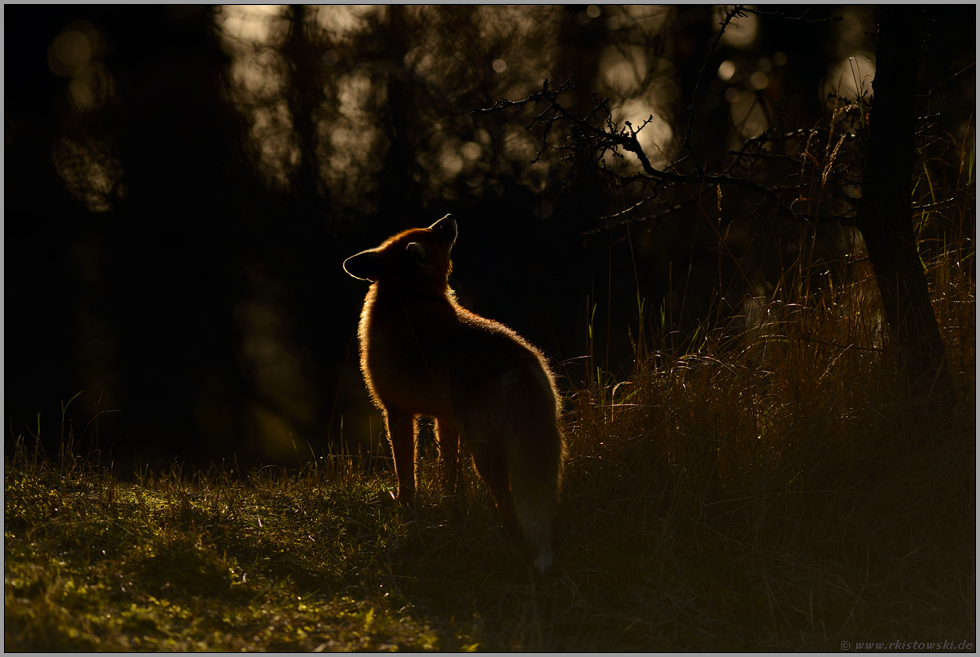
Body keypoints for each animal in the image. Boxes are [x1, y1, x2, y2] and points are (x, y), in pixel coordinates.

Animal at [342, 214, 568, 568]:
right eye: (435, 231)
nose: (449, 217)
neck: (406, 299)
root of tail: (520, 361)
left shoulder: (397, 412)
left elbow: (406, 475)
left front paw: (407, 515)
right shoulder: (444, 418)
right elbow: (451, 476)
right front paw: (452, 513)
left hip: (486, 452)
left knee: (507, 499)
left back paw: (512, 545)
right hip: (543, 447)